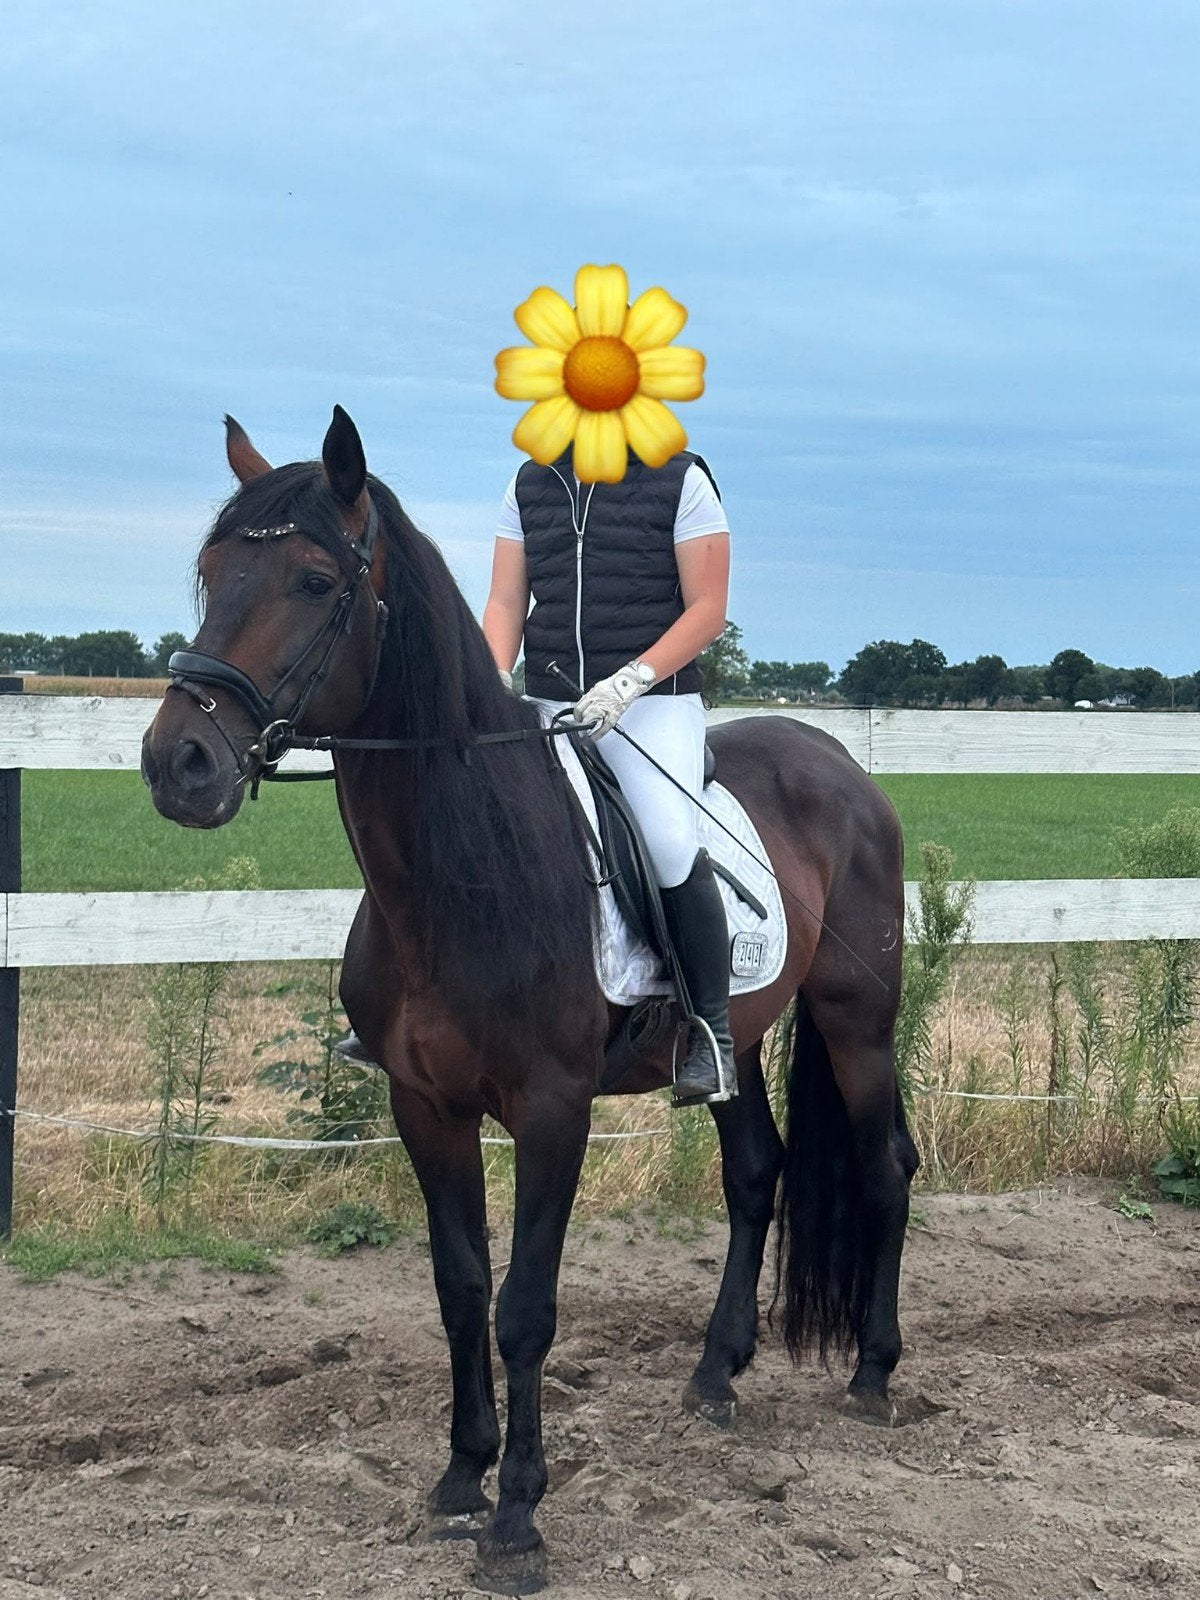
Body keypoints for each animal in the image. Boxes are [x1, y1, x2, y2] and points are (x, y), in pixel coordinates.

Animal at [141, 407, 918, 1596]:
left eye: (316, 580)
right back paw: (715, 1374)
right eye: (213, 572)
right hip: (734, 1038)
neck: (466, 869)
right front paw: (462, 1477)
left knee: (882, 1172)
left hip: (855, 1025)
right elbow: (461, 1287)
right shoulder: (426, 1107)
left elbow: (526, 1308)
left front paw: (518, 1520)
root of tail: (843, 767)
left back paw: (873, 1374)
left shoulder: (554, 1112)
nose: (178, 762)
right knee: (756, 1174)